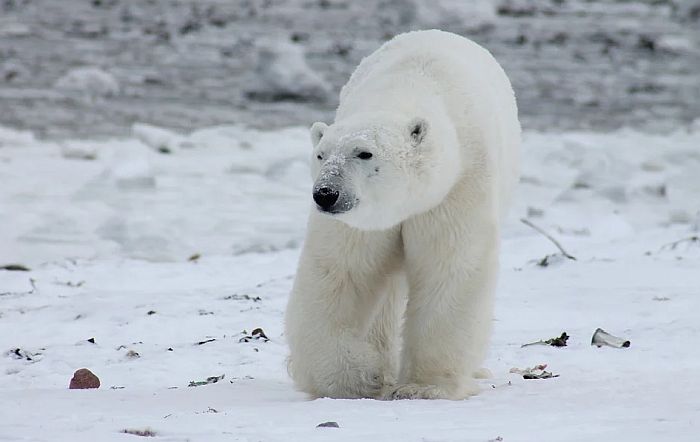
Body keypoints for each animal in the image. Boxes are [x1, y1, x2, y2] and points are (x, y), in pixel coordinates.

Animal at [284, 29, 520, 398]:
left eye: (364, 153)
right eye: (321, 155)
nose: (325, 194)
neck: (409, 86)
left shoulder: (457, 187)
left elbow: (449, 268)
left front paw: (423, 387)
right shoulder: (361, 221)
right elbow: (340, 272)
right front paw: (358, 377)